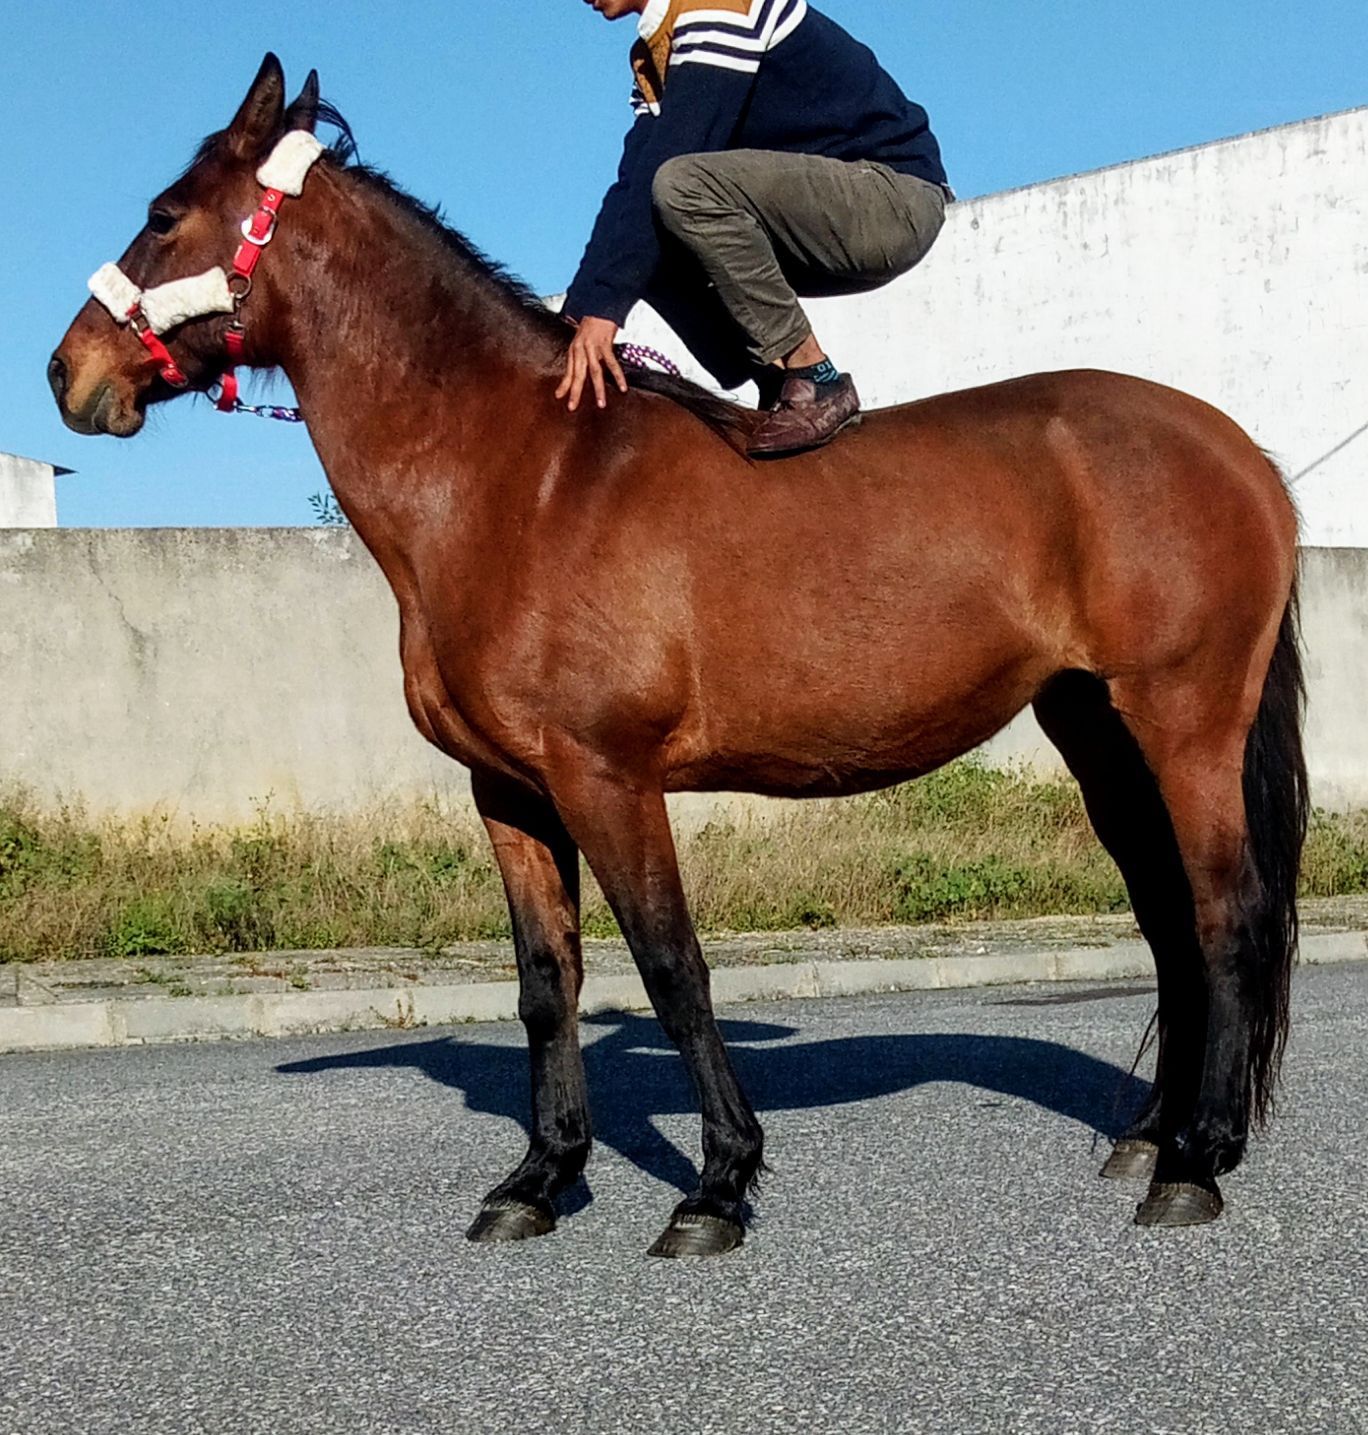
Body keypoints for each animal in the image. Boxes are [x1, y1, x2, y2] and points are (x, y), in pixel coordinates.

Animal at [50, 55, 1303, 1257]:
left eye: (164, 214)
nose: (69, 375)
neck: (518, 475)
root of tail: (1240, 451)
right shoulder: (508, 790)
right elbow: (546, 982)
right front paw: (539, 1177)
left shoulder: (606, 775)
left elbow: (671, 965)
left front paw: (716, 1185)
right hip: (1097, 729)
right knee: (1168, 918)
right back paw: (1149, 1136)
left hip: (1185, 721)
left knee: (1226, 915)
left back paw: (1197, 1161)